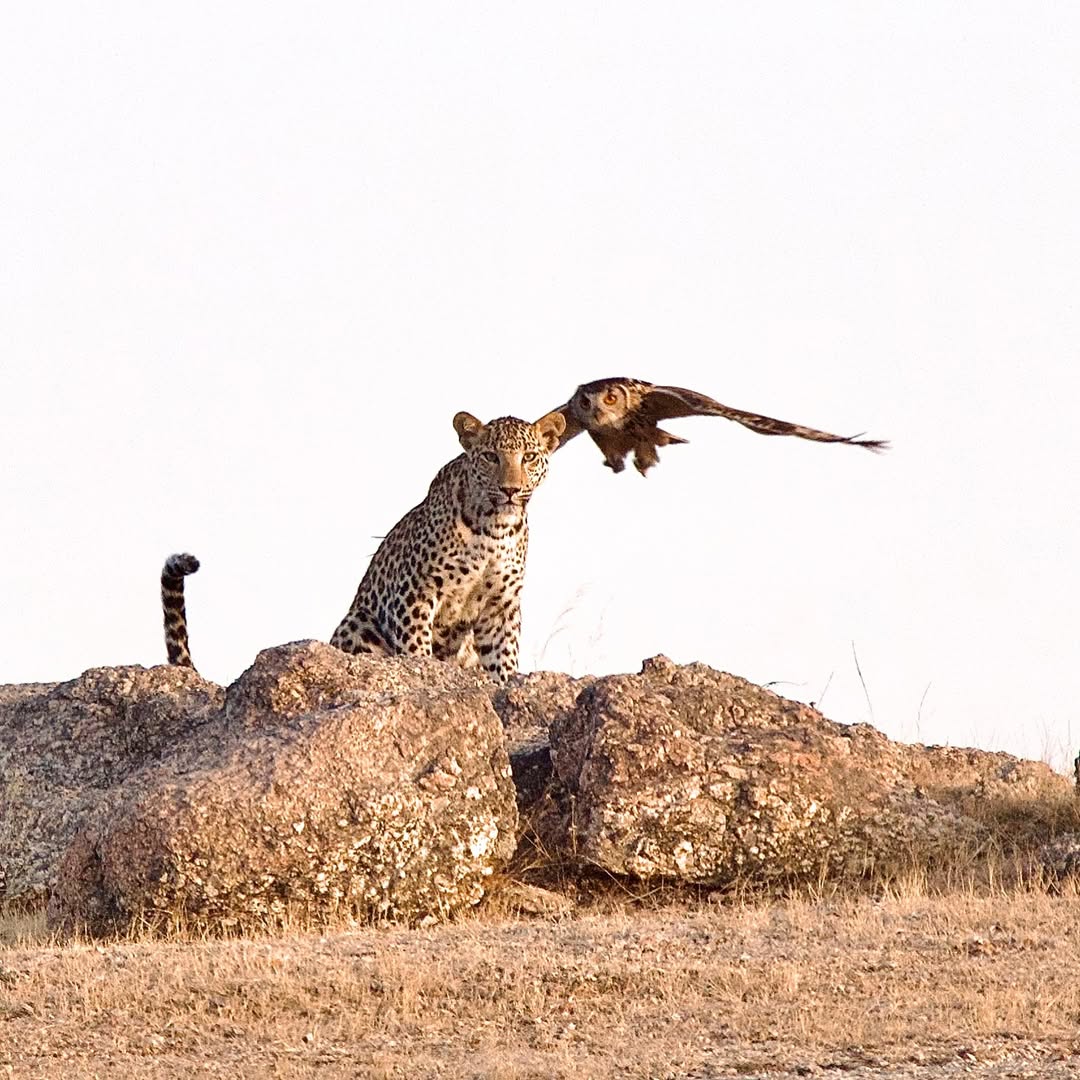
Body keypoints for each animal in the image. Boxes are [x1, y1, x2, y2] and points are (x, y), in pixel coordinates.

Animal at [160, 408, 566, 683]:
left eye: (529, 457)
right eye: (490, 457)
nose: (511, 489)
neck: (493, 528)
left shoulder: (501, 604)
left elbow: (503, 658)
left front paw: (505, 686)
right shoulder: (414, 592)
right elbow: (417, 648)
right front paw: (425, 674)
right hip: (359, 627)